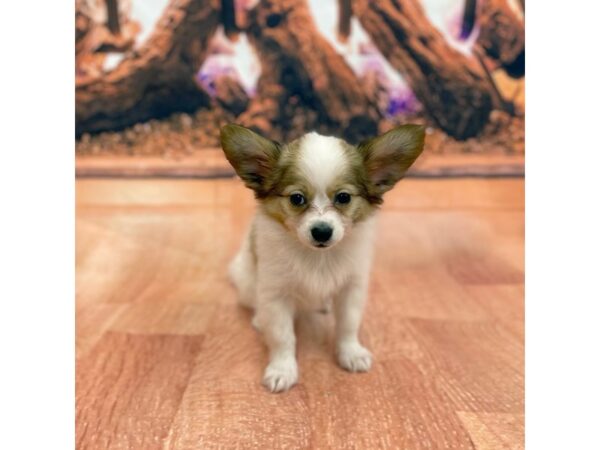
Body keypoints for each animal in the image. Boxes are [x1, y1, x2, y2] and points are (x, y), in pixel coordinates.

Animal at [221, 122, 426, 390]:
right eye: (297, 198)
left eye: (344, 197)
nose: (321, 231)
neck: (318, 258)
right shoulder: (276, 294)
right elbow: (282, 336)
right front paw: (282, 369)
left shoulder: (351, 288)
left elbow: (348, 325)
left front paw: (351, 353)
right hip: (248, 283)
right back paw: (259, 319)